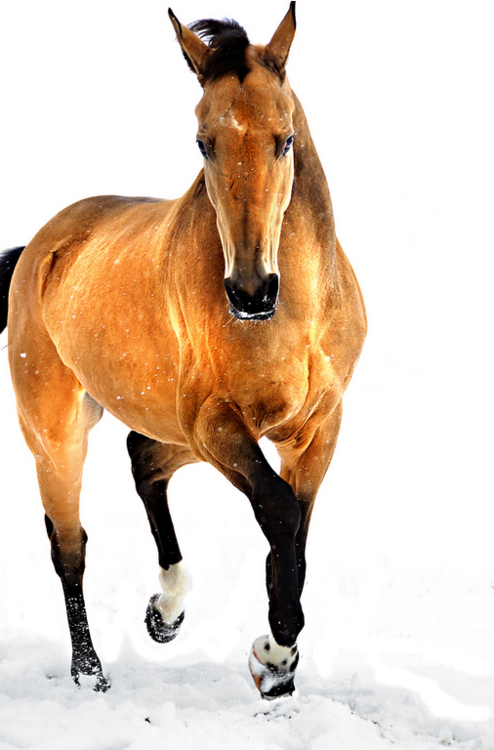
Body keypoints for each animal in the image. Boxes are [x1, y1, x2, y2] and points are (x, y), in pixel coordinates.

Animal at [0, 2, 368, 698]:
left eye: (284, 138)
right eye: (204, 141)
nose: (250, 291)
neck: (295, 314)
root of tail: (46, 242)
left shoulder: (316, 425)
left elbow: (299, 519)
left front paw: (275, 662)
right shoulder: (219, 422)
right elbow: (280, 511)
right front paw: (272, 658)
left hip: (169, 422)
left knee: (143, 461)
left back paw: (166, 612)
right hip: (59, 431)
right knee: (69, 546)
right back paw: (90, 673)